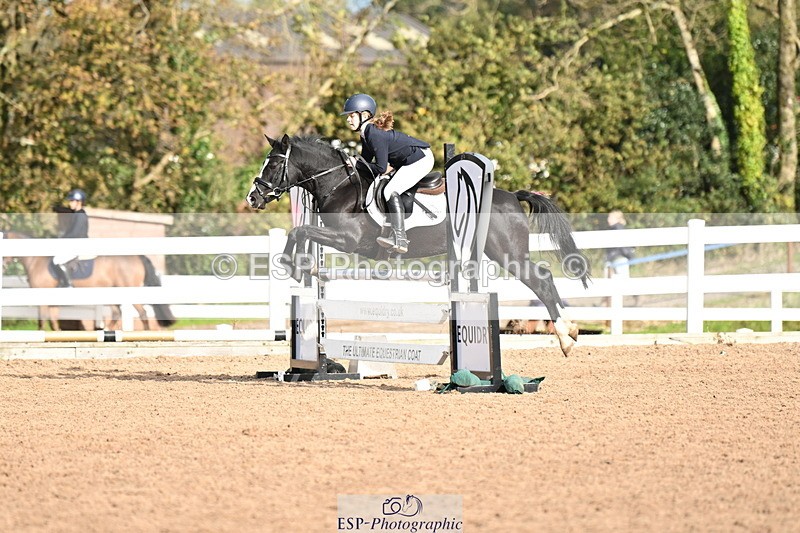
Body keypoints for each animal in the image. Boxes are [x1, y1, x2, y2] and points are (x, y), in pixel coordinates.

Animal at [2, 231, 176, 331]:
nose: (2, 266)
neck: (35, 260)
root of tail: (137, 256)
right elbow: (53, 321)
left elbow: (43, 320)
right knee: (117, 314)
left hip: (128, 290)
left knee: (142, 313)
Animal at [246, 134, 591, 356]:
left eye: (273, 166)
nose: (253, 198)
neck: (339, 185)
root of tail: (512, 196)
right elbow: (300, 232)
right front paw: (300, 267)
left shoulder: (348, 239)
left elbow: (300, 231)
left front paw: (292, 265)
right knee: (542, 280)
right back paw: (569, 333)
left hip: (507, 252)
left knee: (542, 281)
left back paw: (567, 336)